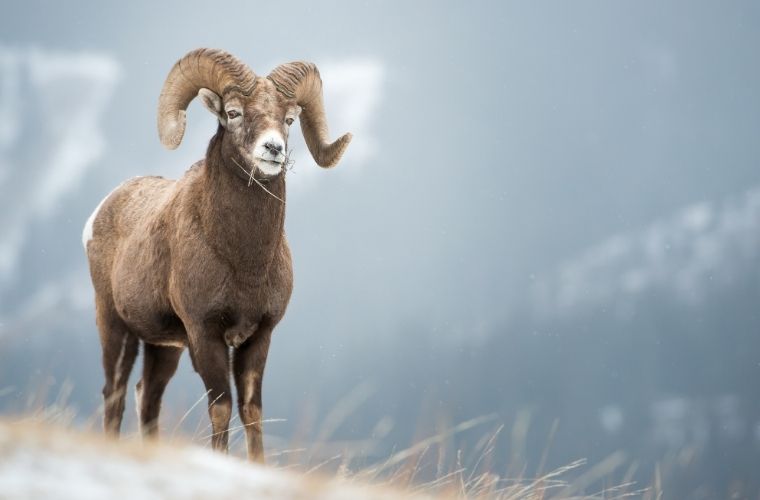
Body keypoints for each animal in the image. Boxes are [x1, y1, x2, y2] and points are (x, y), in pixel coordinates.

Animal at [81, 48, 354, 462]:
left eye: (289, 119)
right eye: (234, 112)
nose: (273, 149)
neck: (245, 262)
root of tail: (101, 211)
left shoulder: (259, 337)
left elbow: (251, 410)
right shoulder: (204, 334)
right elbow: (221, 408)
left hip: (162, 348)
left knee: (148, 398)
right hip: (115, 325)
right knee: (114, 394)